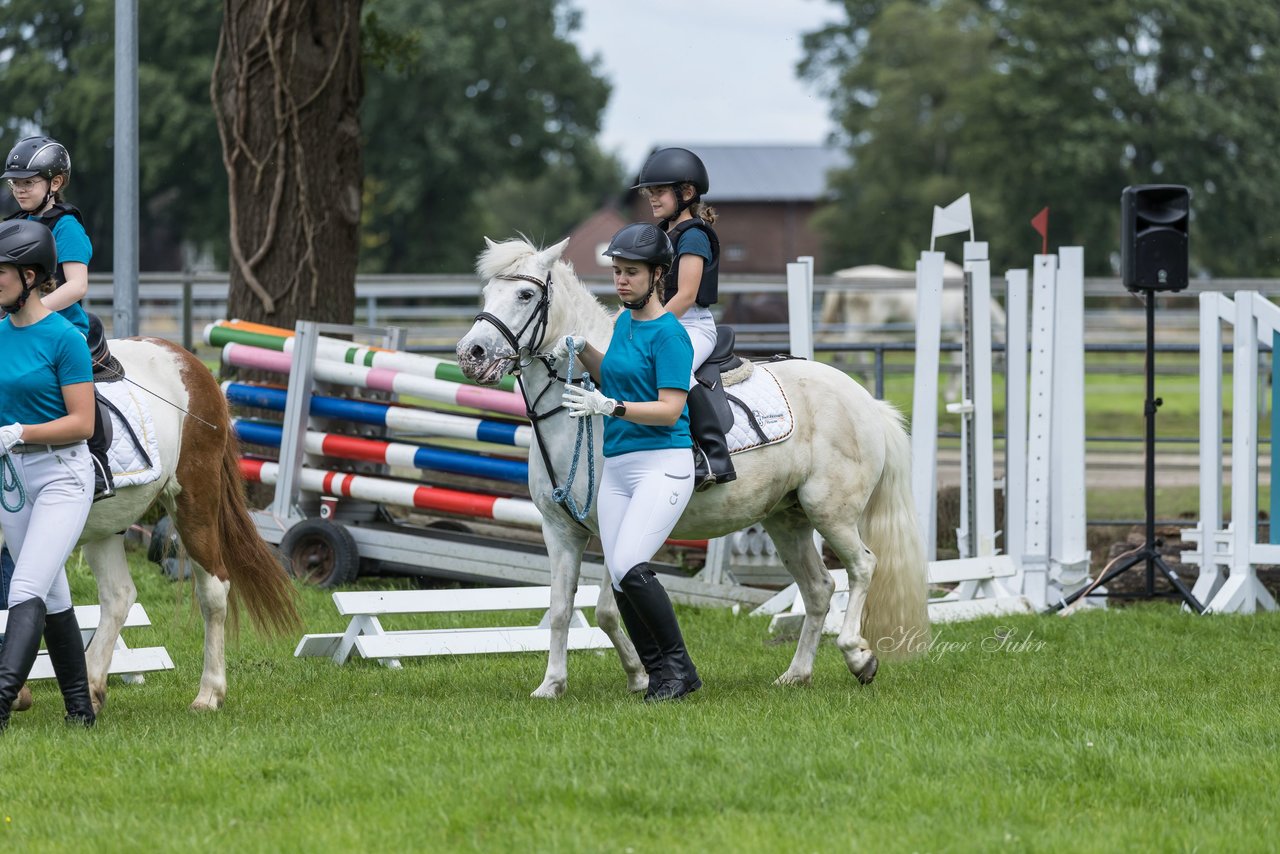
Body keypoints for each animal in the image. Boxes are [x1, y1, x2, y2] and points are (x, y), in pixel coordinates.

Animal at [460, 236, 931, 696]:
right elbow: (561, 608)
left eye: (524, 295)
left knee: (862, 567)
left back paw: (858, 656)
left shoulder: (616, 527)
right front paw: (554, 684)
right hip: (788, 519)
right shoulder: (559, 530)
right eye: (486, 292)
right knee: (819, 589)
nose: (471, 354)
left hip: (830, 510)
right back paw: (796, 675)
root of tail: (864, 399)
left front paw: (642, 676)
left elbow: (609, 609)